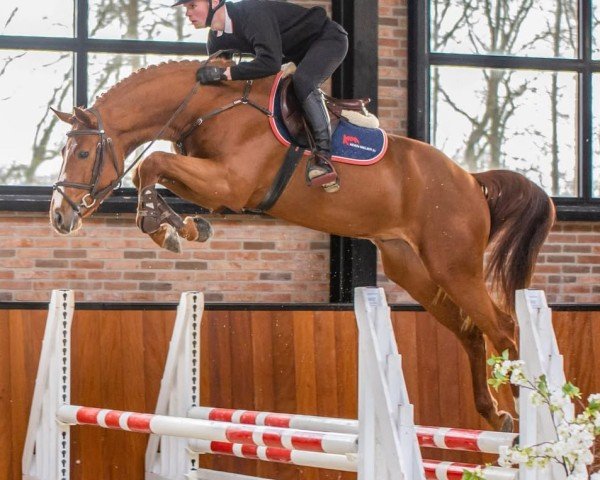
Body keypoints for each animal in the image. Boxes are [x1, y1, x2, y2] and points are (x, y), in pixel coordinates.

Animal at [49, 59, 556, 432]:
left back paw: (527, 413)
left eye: (81, 152)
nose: (59, 216)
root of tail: (471, 180)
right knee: (471, 332)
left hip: (454, 266)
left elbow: (148, 164)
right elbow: (154, 171)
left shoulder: (229, 183)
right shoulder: (213, 185)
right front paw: (181, 226)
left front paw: (163, 226)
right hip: (414, 269)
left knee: (504, 328)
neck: (212, 104)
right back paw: (494, 413)